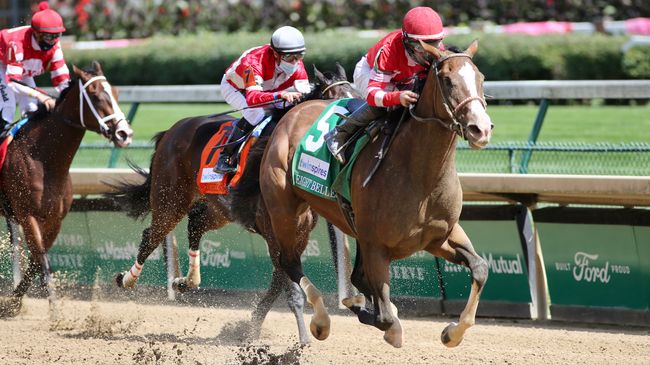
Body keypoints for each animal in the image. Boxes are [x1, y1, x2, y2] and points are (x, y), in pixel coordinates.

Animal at [0, 60, 133, 316]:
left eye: (115, 93)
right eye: (95, 95)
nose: (125, 134)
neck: (44, 160)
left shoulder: (55, 220)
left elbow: (35, 262)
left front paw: (12, 303)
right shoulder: (28, 216)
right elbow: (42, 262)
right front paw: (56, 314)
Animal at [107, 63, 360, 344]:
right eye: (337, 104)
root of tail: (172, 131)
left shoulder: (299, 234)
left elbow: (278, 282)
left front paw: (252, 327)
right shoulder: (274, 233)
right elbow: (289, 287)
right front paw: (304, 337)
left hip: (220, 209)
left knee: (195, 223)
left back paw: (186, 281)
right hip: (170, 199)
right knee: (151, 236)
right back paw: (127, 279)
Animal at [253, 40, 492, 346]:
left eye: (481, 78)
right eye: (448, 81)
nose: (481, 129)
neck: (421, 174)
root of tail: (292, 113)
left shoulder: (440, 236)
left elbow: (480, 268)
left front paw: (452, 332)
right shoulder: (376, 246)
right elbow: (384, 317)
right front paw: (381, 319)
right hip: (286, 212)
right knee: (290, 262)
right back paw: (320, 321)